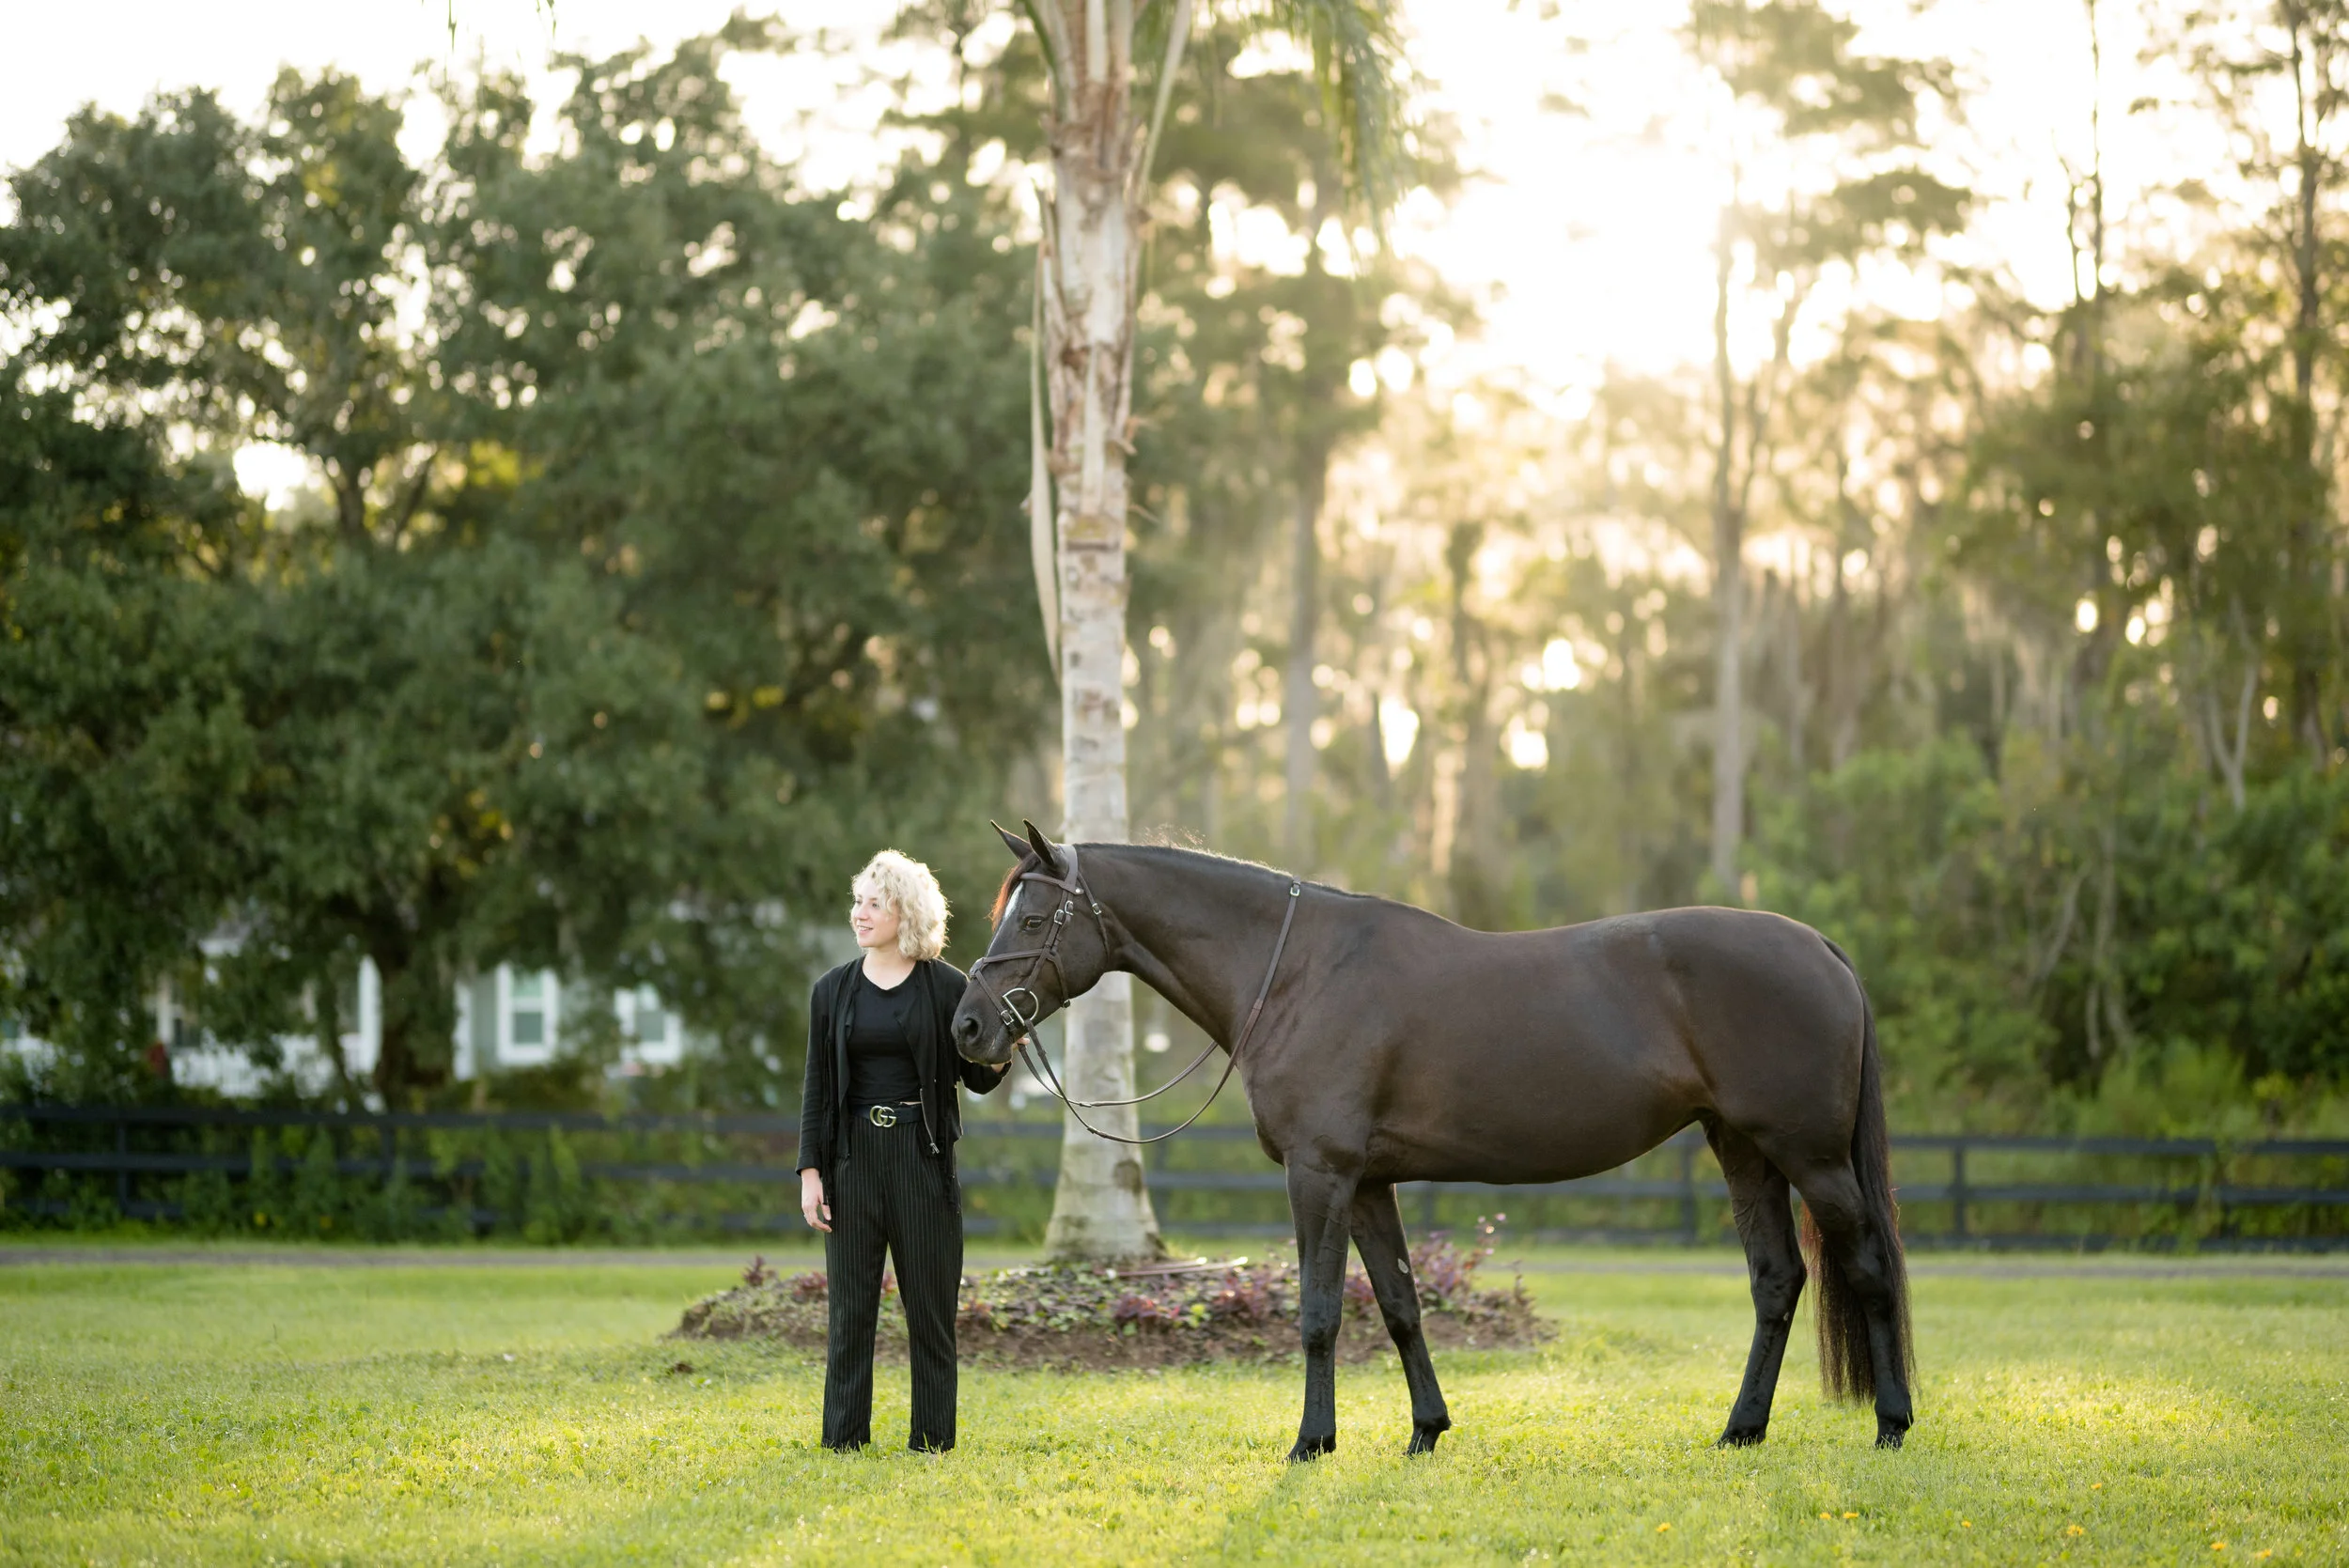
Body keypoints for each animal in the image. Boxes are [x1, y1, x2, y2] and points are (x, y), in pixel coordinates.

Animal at [950, 821, 1914, 1462]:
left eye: (1031, 921)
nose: (967, 1028)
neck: (1295, 972)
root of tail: (1820, 948)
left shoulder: (1320, 1175)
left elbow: (1320, 1312)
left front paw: (1313, 1442)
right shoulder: (1369, 1183)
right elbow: (1402, 1305)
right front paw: (1426, 1430)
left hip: (1810, 1157)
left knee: (1866, 1265)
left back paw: (1891, 1423)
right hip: (1743, 1149)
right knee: (1777, 1279)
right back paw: (1741, 1428)